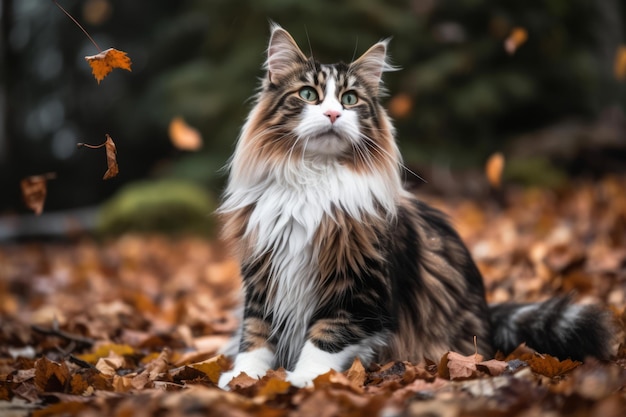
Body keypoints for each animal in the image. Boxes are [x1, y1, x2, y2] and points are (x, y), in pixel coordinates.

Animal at [214, 22, 608, 386]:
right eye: (309, 94)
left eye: (350, 99)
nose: (332, 115)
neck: (313, 181)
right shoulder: (263, 275)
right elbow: (255, 335)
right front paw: (242, 379)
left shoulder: (358, 288)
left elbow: (325, 337)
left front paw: (305, 379)